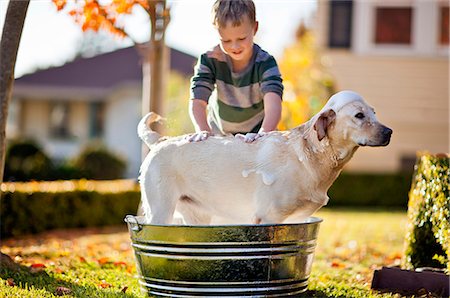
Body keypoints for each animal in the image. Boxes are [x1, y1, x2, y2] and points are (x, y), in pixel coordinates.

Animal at [137, 89, 390, 225]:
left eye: (374, 113)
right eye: (359, 115)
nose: (389, 132)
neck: (309, 157)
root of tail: (161, 140)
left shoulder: (299, 218)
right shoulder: (270, 217)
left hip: (197, 216)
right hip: (160, 210)